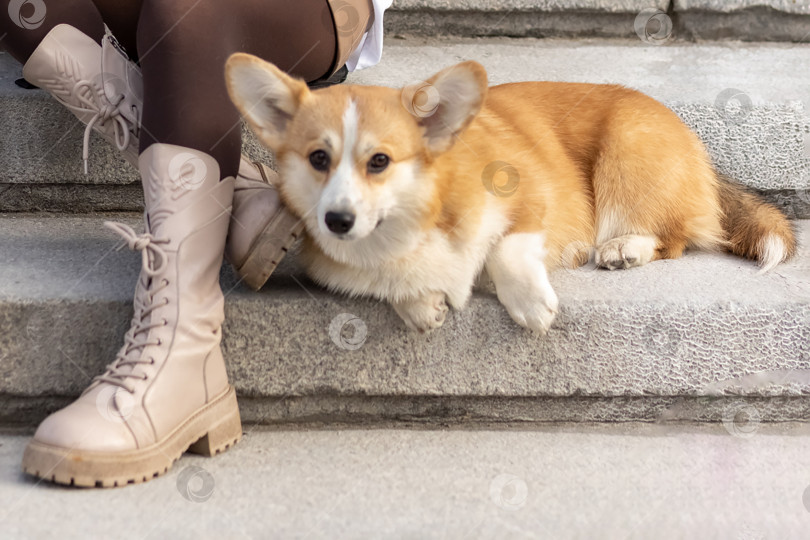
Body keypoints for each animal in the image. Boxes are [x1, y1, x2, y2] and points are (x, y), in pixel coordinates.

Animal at [224, 53, 792, 334]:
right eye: (318, 159)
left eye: (379, 161)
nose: (337, 221)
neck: (412, 223)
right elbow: (397, 284)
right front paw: (420, 307)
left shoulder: (533, 199)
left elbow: (506, 248)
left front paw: (530, 305)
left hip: (627, 157)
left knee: (674, 237)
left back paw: (623, 248)